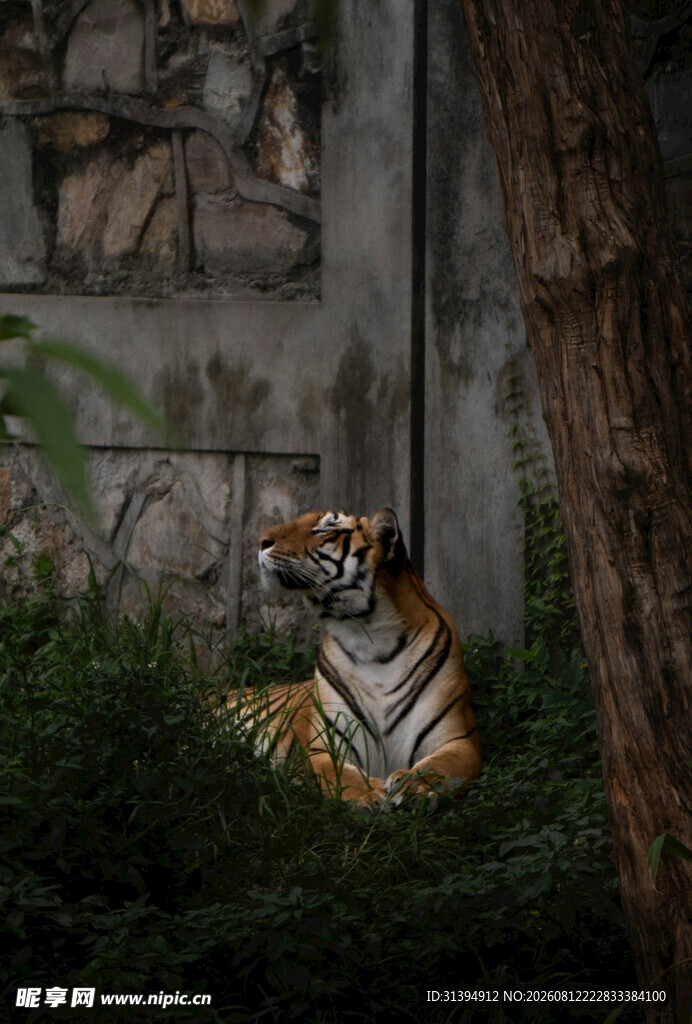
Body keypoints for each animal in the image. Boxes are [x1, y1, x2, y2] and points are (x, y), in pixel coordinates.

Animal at [232, 507, 481, 811]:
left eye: (325, 529)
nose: (261, 541)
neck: (371, 639)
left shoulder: (459, 741)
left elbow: (438, 766)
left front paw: (414, 787)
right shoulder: (324, 745)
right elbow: (336, 773)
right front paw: (367, 794)